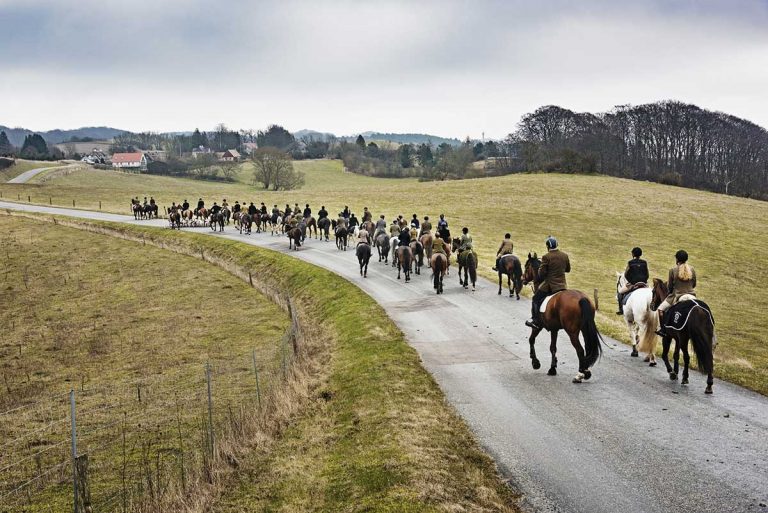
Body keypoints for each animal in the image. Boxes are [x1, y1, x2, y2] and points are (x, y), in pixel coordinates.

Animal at [520, 254, 608, 382]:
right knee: (587, 348)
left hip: (572, 332)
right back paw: (586, 372)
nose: (522, 279)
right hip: (584, 328)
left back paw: (579, 375)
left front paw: (535, 363)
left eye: (527, 267)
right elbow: (553, 347)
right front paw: (552, 368)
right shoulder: (554, 329)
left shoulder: (538, 326)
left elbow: (531, 340)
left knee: (580, 350)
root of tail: (581, 298)